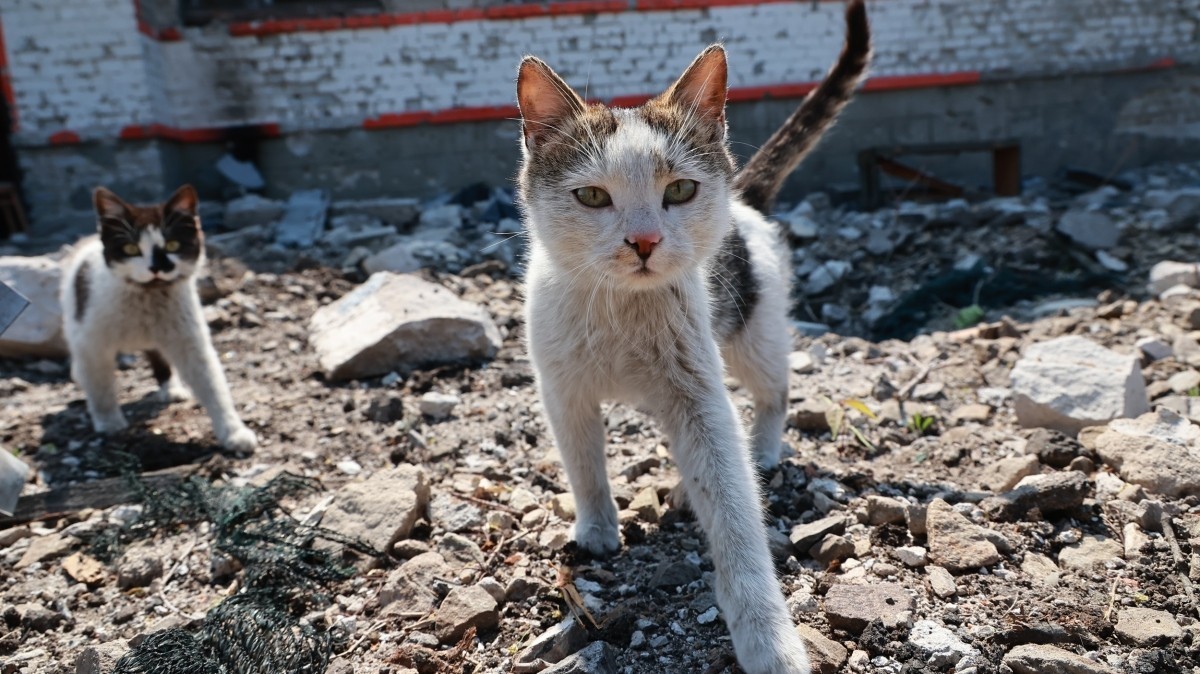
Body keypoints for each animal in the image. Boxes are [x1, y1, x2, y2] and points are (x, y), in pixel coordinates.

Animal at [59, 184, 256, 450]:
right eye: (131, 249)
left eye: (172, 245)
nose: (158, 267)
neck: (146, 297)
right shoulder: (92, 344)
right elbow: (101, 387)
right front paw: (108, 421)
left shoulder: (190, 340)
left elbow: (214, 385)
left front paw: (234, 432)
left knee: (160, 356)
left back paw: (171, 389)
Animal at [511, 2, 868, 666]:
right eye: (592, 196)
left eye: (679, 190)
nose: (644, 241)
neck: (622, 310)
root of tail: (746, 202)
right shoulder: (561, 388)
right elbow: (583, 461)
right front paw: (596, 530)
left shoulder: (701, 394)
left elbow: (733, 507)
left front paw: (769, 642)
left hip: (754, 334)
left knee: (774, 392)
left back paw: (763, 450)